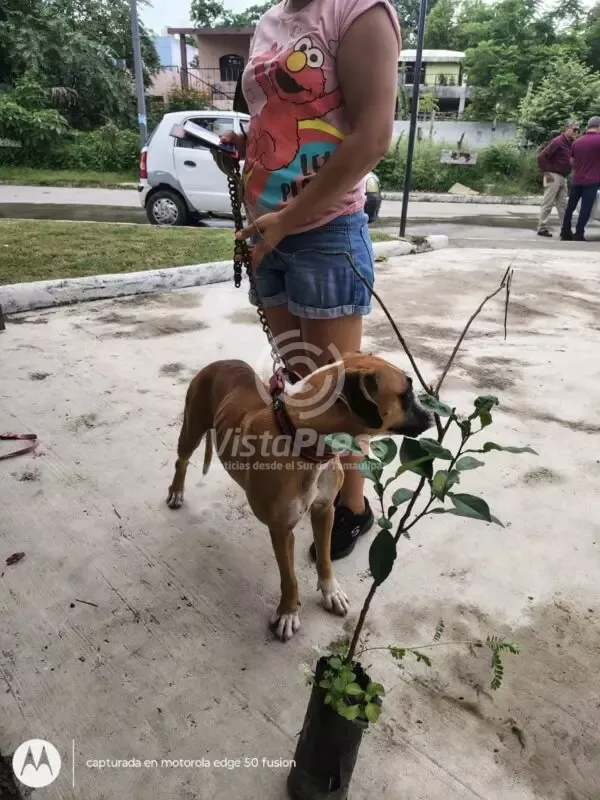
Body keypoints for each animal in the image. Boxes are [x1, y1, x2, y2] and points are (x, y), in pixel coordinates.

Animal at [167, 353, 431, 640]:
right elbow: (289, 578)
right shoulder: (281, 530)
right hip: (191, 429)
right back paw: (176, 492)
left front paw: (331, 592)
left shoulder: (325, 510)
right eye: (406, 394)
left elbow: (325, 559)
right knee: (182, 461)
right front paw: (288, 613)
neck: (303, 441)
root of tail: (220, 362)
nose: (432, 413)